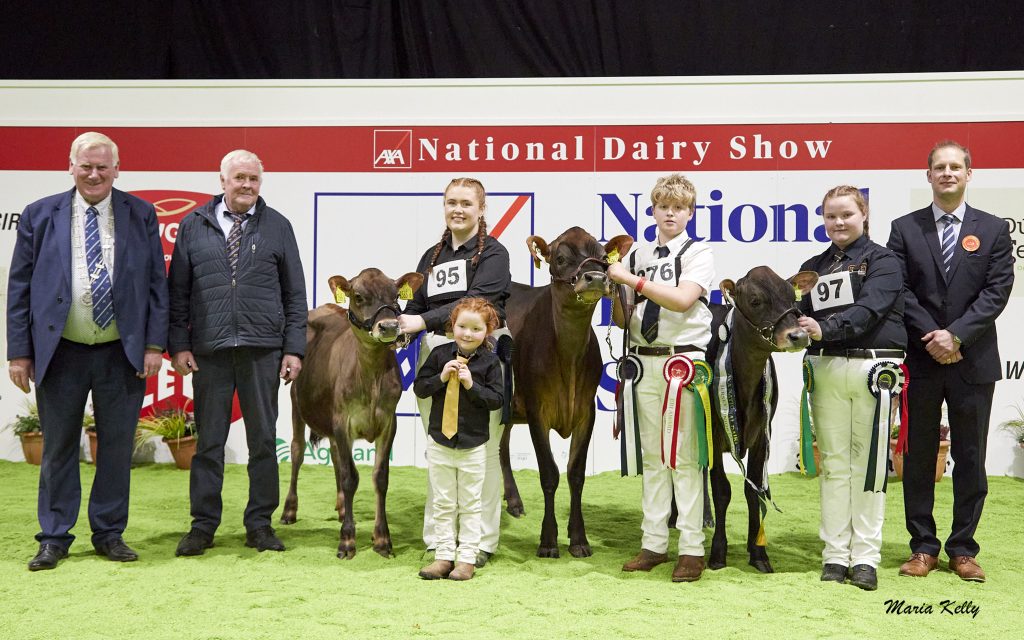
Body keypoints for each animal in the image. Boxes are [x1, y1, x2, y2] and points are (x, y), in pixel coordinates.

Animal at [280, 268, 424, 559]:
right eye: (358, 296)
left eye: (395, 295)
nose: (389, 326)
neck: (370, 377)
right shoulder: (342, 422)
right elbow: (350, 478)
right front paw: (347, 540)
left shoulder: (388, 423)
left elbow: (380, 478)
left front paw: (382, 539)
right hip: (297, 404)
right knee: (298, 451)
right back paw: (290, 510)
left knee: (335, 455)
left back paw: (342, 508)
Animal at [499, 226, 634, 558]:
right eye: (559, 258)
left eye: (603, 256)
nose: (596, 277)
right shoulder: (537, 411)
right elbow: (549, 473)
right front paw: (548, 541)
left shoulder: (587, 412)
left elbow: (576, 473)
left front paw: (578, 538)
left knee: (502, 446)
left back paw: (514, 501)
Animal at [705, 266, 818, 573]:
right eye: (755, 301)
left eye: (792, 296)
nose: (798, 335)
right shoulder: (714, 434)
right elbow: (722, 491)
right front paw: (718, 553)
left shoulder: (761, 434)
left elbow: (753, 489)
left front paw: (757, 551)